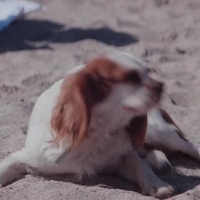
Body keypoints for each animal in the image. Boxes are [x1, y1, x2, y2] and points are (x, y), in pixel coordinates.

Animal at [0, 51, 200, 198]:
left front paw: (157, 185)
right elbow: (7, 165)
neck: (98, 131)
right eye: (132, 77)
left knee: (186, 145)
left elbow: (138, 164)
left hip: (158, 131)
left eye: (150, 72)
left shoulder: (122, 157)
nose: (161, 85)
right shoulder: (28, 156)